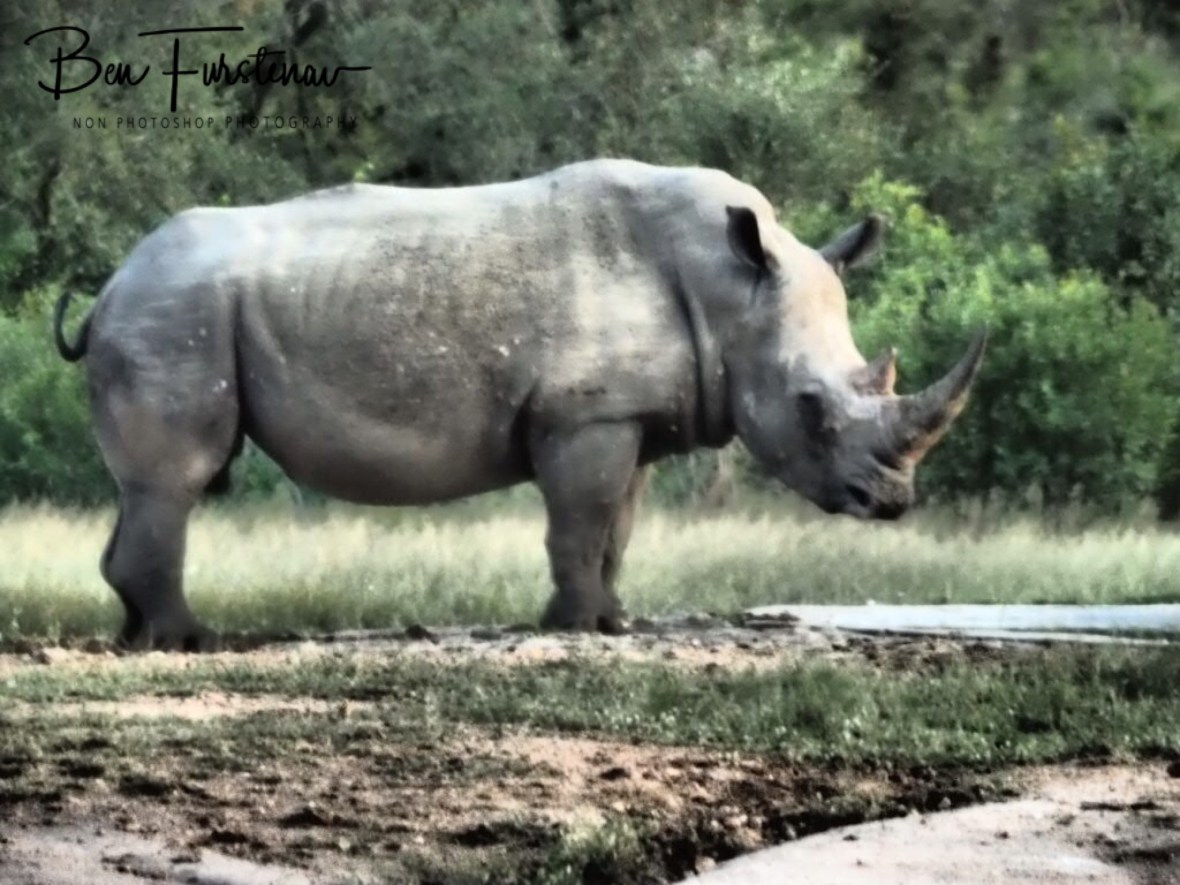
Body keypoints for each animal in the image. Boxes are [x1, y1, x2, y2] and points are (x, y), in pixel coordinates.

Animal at [54, 159, 984, 651]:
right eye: (810, 406)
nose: (892, 502)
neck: (728, 292)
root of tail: (108, 287)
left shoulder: (629, 418)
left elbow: (616, 528)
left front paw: (612, 621)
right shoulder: (584, 415)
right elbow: (578, 521)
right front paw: (576, 625)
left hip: (170, 307)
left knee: (148, 487)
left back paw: (138, 637)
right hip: (175, 309)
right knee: (178, 478)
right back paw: (188, 640)